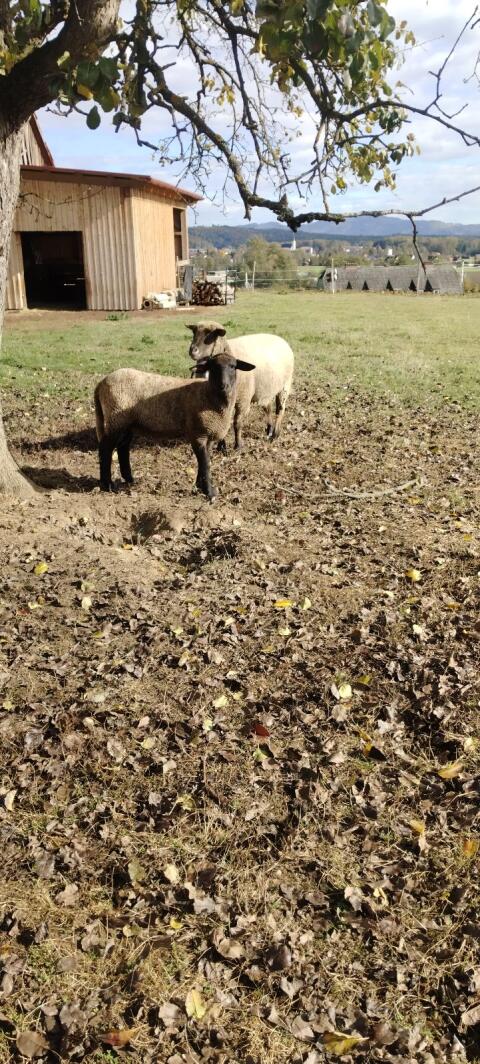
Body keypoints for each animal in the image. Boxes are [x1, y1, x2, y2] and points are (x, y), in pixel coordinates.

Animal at [94, 352, 255, 499]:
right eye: (212, 367)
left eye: (233, 366)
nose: (223, 386)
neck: (209, 396)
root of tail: (101, 382)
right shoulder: (198, 433)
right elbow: (205, 464)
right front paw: (209, 492)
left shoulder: (206, 435)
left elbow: (203, 462)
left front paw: (199, 487)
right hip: (116, 418)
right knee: (106, 449)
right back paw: (107, 485)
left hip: (126, 423)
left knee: (123, 447)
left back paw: (130, 479)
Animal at [187, 321, 294, 451]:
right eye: (194, 332)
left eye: (211, 333)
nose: (193, 351)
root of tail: (282, 340)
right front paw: (221, 446)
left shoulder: (243, 399)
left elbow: (237, 423)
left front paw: (238, 445)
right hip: (265, 388)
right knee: (268, 407)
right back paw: (269, 430)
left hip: (285, 386)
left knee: (280, 409)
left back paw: (275, 434)